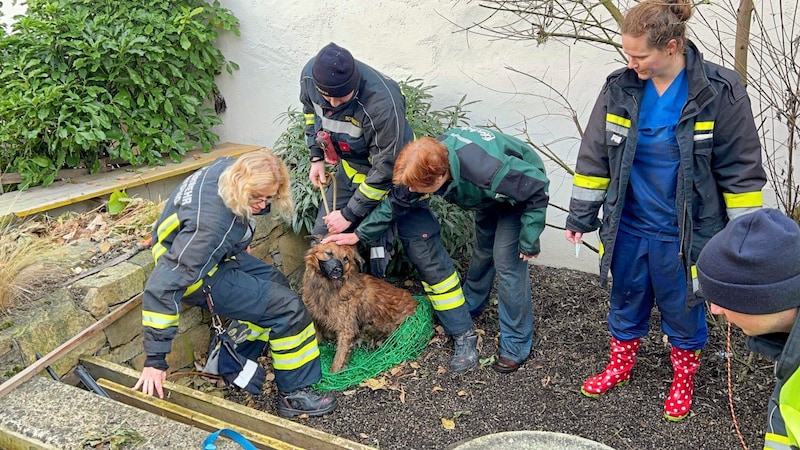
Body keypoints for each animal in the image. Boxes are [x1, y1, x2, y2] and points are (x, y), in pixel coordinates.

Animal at [302, 236, 418, 372]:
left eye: (345, 258)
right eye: (329, 253)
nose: (338, 270)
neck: (328, 288)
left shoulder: (346, 329)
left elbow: (338, 358)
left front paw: (334, 372)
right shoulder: (316, 318)